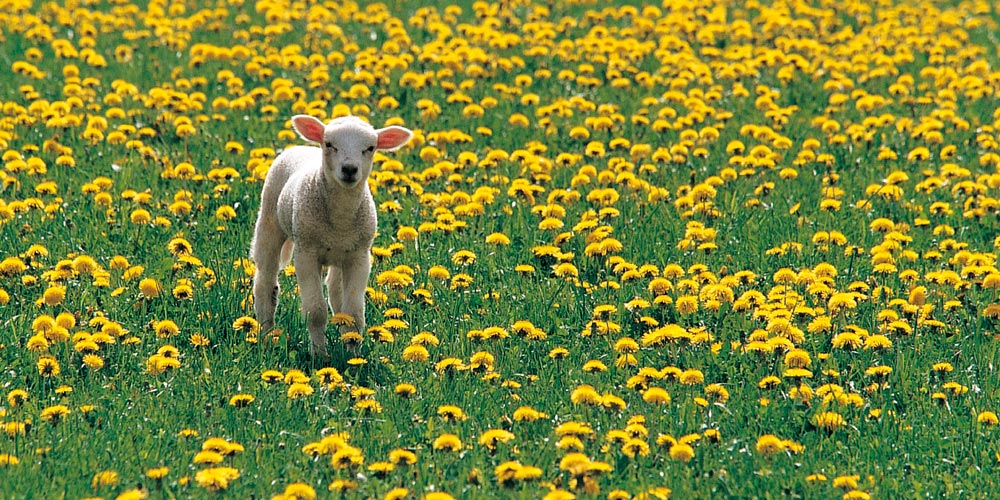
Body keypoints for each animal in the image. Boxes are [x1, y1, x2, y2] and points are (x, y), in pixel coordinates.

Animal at [252, 114, 412, 358]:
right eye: (329, 144)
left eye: (370, 148)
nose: (349, 169)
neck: (340, 221)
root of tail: (300, 147)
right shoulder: (306, 252)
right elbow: (316, 311)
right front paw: (319, 354)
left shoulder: (359, 255)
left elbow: (354, 313)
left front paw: (353, 354)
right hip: (269, 221)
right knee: (266, 281)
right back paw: (267, 334)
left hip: (340, 255)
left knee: (335, 291)